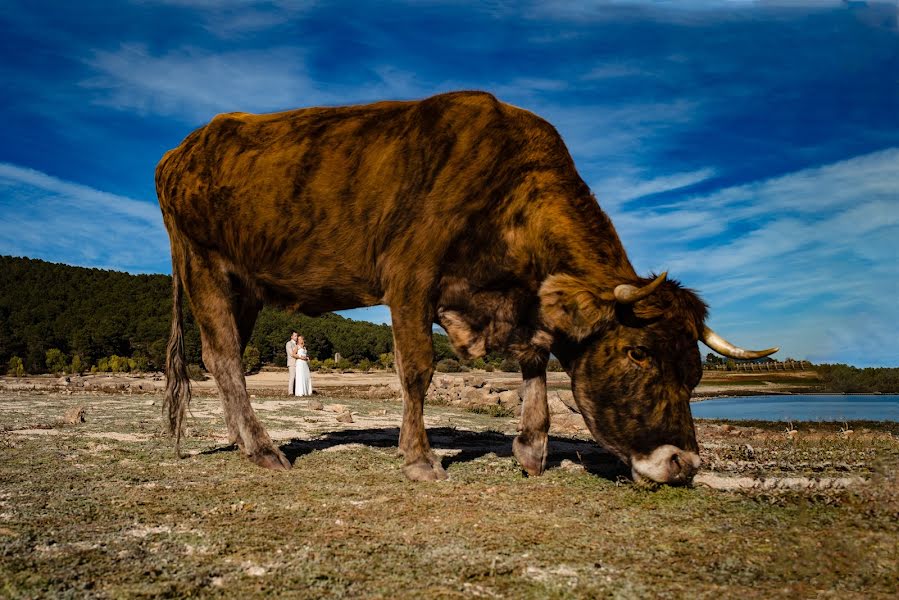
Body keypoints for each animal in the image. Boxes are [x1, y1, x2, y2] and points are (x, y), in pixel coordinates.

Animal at [155, 90, 772, 482]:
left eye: (696, 372)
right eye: (638, 353)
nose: (684, 465)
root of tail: (183, 149)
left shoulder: (518, 301)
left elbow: (536, 358)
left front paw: (531, 449)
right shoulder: (409, 276)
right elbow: (417, 370)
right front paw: (420, 460)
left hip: (245, 286)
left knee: (221, 356)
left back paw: (244, 443)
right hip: (205, 265)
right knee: (225, 356)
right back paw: (263, 451)